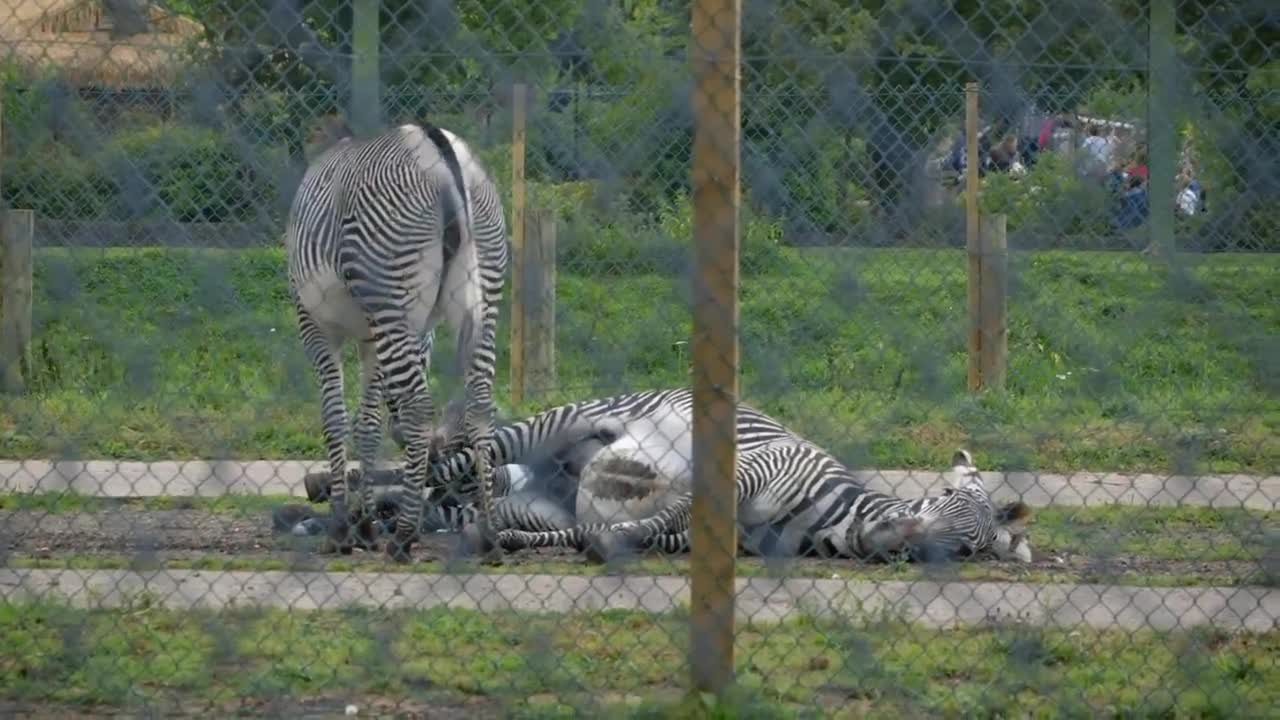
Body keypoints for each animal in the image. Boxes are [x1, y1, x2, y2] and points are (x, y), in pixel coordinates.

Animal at [285, 120, 509, 561]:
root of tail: (436, 144)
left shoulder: (316, 326)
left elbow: (336, 419)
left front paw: (343, 528)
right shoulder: (375, 337)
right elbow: (368, 424)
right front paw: (366, 525)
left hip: (391, 292)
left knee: (419, 409)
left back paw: (404, 537)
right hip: (484, 298)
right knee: (479, 404)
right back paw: (491, 534)